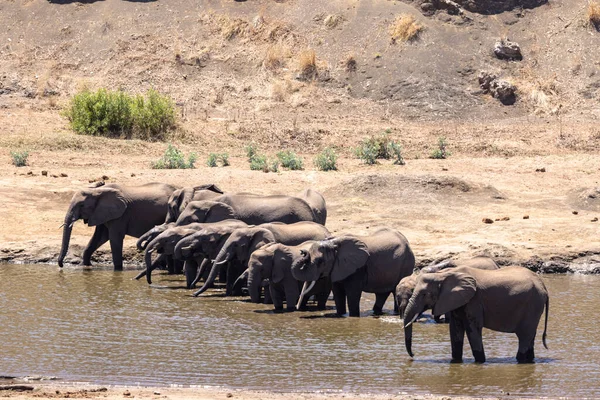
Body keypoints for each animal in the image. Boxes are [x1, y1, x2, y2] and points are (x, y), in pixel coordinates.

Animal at [404, 266, 548, 362]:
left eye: (424, 294)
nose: (413, 355)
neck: (444, 274)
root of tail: (544, 286)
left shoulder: (474, 300)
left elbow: (472, 328)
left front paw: (480, 361)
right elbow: (455, 329)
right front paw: (456, 361)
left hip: (533, 305)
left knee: (524, 335)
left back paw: (520, 360)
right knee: (530, 335)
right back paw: (530, 359)